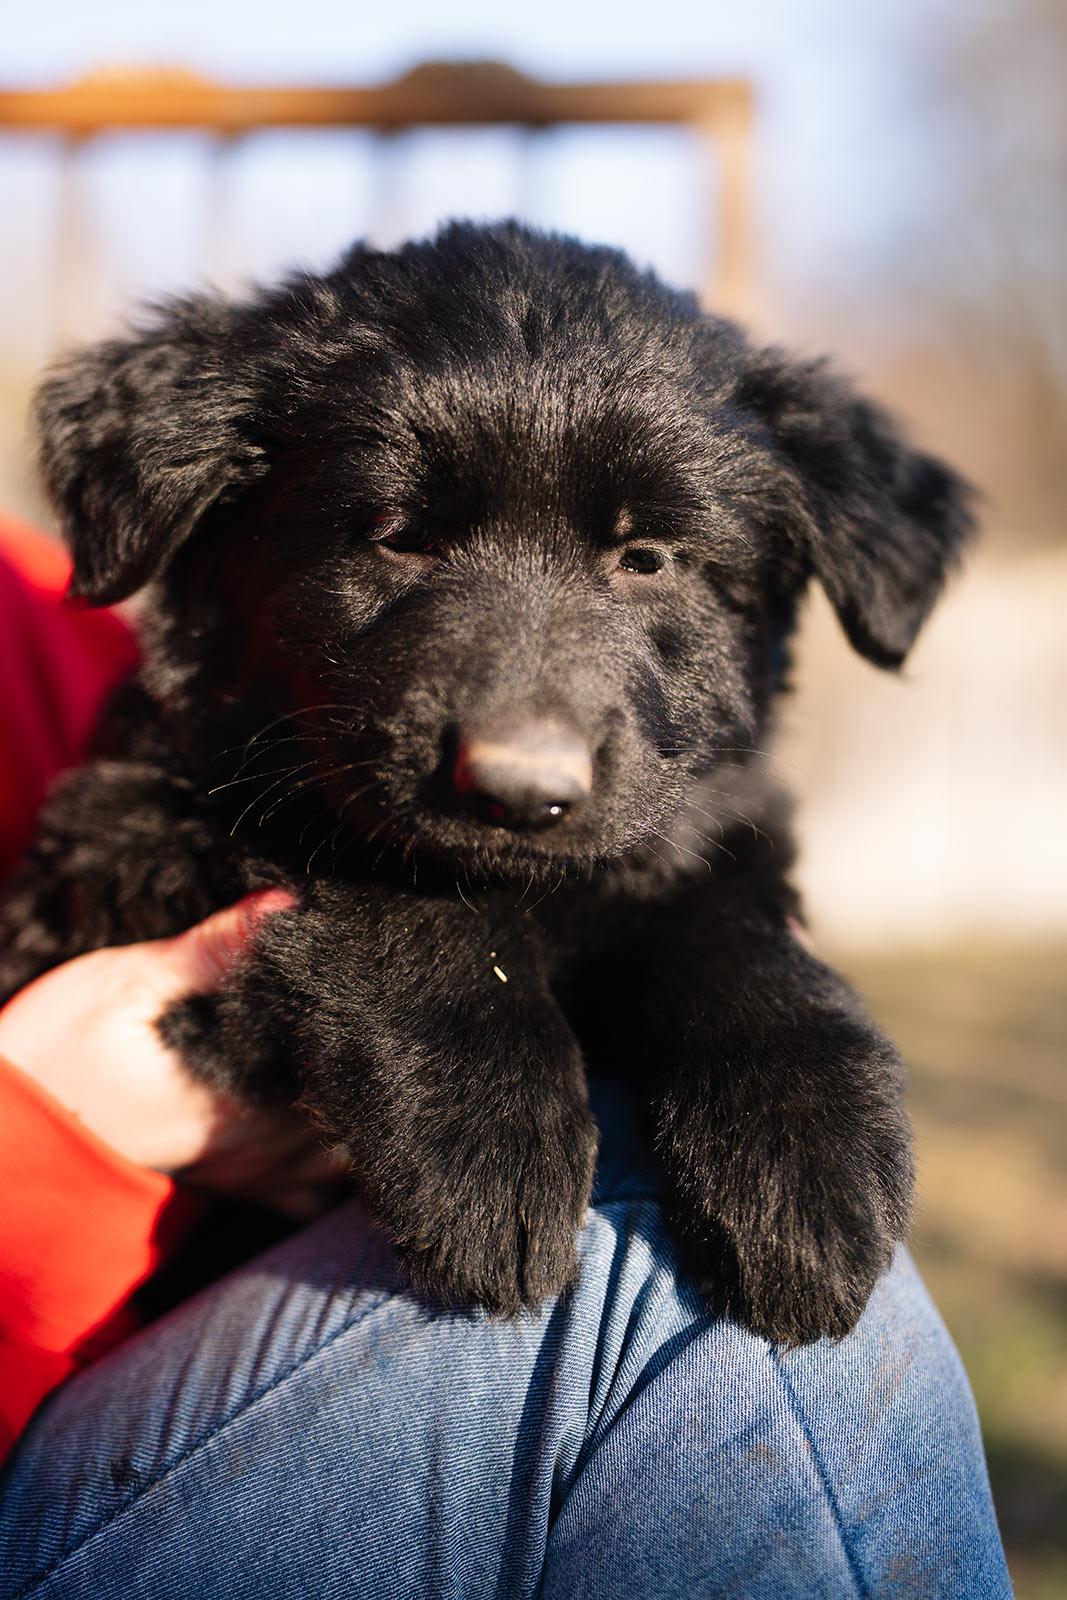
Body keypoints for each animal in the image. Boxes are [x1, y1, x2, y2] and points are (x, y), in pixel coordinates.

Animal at [0, 221, 973, 1344]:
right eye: (396, 533)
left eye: (646, 557)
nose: (518, 790)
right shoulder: (130, 850)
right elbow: (406, 896)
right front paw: (484, 1141)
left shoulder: (706, 825)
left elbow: (729, 928)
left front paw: (807, 1155)